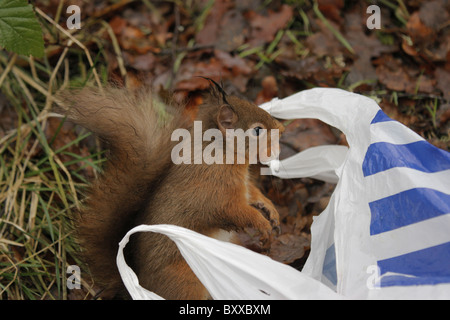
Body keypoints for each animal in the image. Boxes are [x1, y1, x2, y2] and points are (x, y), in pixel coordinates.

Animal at [58, 80, 284, 300]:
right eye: (257, 130)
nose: (281, 128)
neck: (221, 153)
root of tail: (137, 285)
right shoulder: (212, 189)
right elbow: (233, 211)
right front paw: (262, 224)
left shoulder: (242, 186)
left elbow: (252, 193)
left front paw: (271, 210)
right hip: (185, 281)